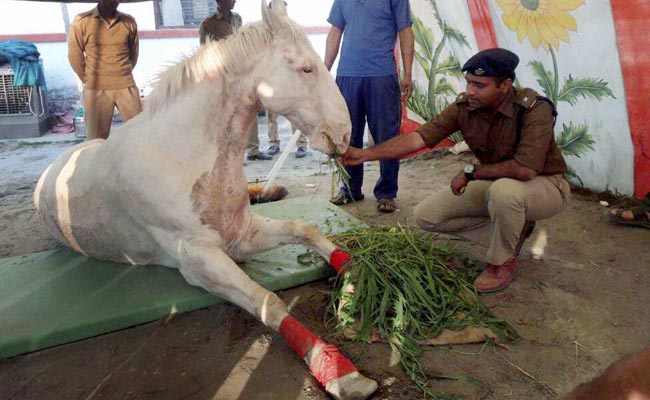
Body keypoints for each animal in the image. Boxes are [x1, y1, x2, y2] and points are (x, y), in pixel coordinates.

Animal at [33, 1, 378, 398]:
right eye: (306, 67)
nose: (345, 134)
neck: (183, 155)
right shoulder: (199, 259)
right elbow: (268, 301)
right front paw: (338, 370)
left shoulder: (241, 235)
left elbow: (305, 229)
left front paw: (357, 284)